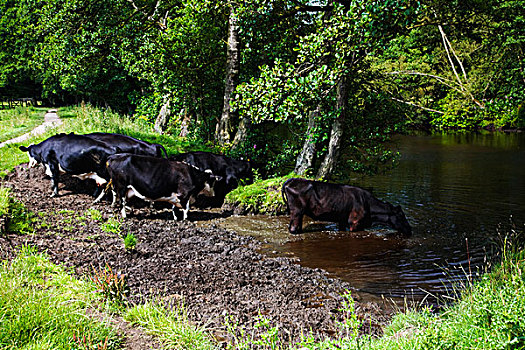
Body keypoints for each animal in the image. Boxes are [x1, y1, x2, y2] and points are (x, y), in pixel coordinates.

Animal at [280, 178, 412, 235]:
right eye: (401, 215)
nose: (410, 229)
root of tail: (290, 181)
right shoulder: (354, 222)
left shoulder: (342, 220)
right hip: (297, 211)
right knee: (293, 228)